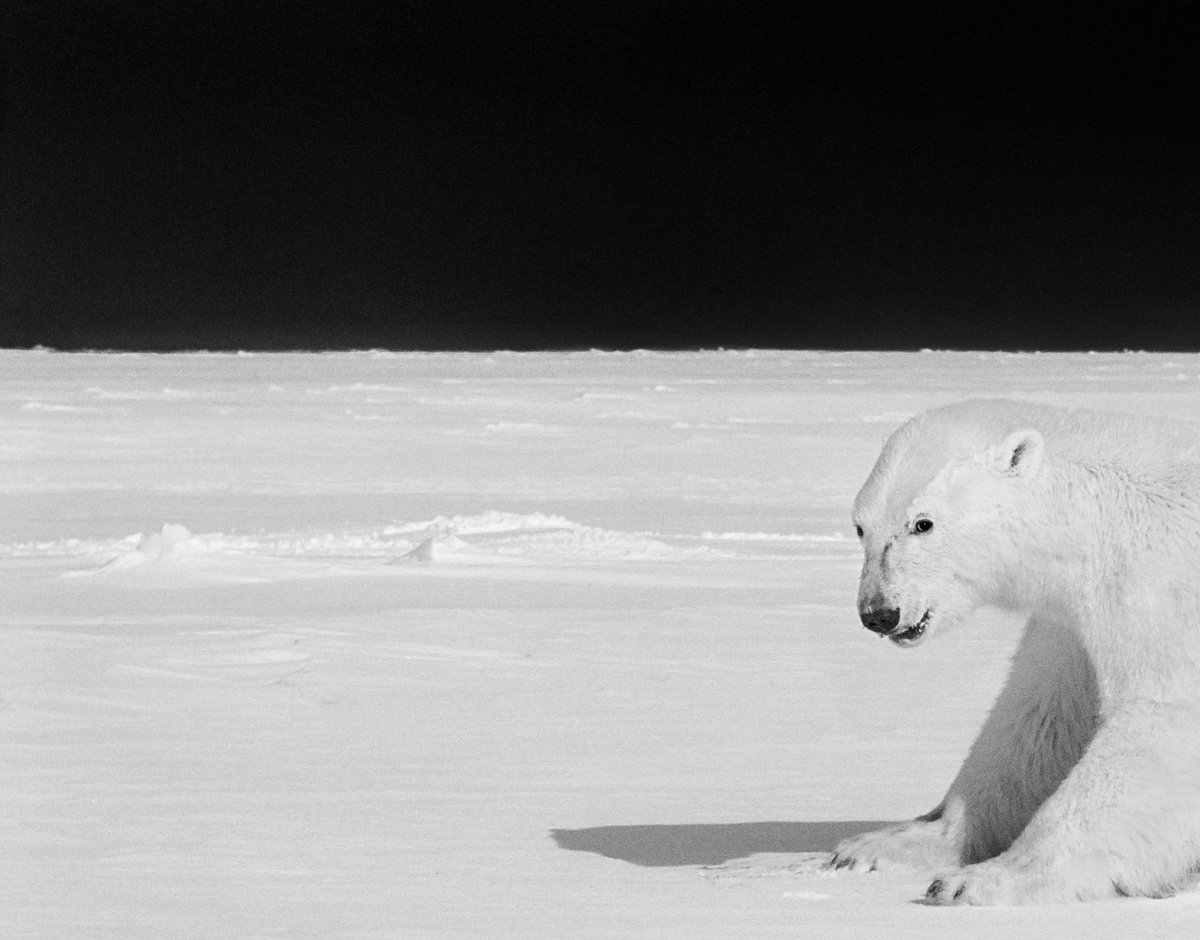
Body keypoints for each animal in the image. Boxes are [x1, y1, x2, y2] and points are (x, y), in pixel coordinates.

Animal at [828, 398, 1200, 904]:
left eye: (922, 523)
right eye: (861, 527)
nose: (880, 612)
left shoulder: (1165, 590)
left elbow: (1165, 722)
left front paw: (982, 880)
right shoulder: (1070, 625)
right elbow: (1041, 719)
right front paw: (881, 846)